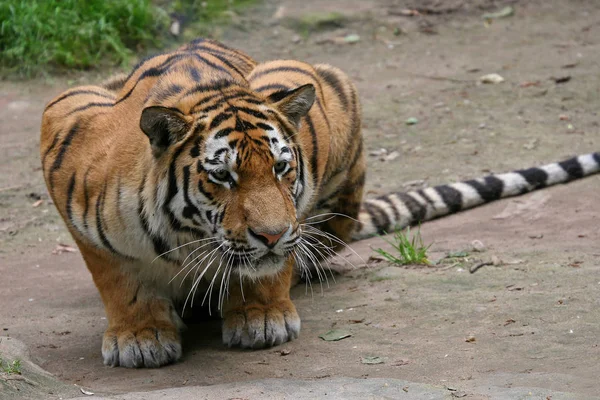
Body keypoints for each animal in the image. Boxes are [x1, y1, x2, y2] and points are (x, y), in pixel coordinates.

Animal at [41, 38, 600, 368]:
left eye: (281, 168)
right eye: (222, 176)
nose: (270, 235)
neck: (186, 238)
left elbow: (271, 264)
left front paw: (262, 319)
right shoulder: (66, 127)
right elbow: (120, 279)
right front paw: (140, 336)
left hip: (321, 82)